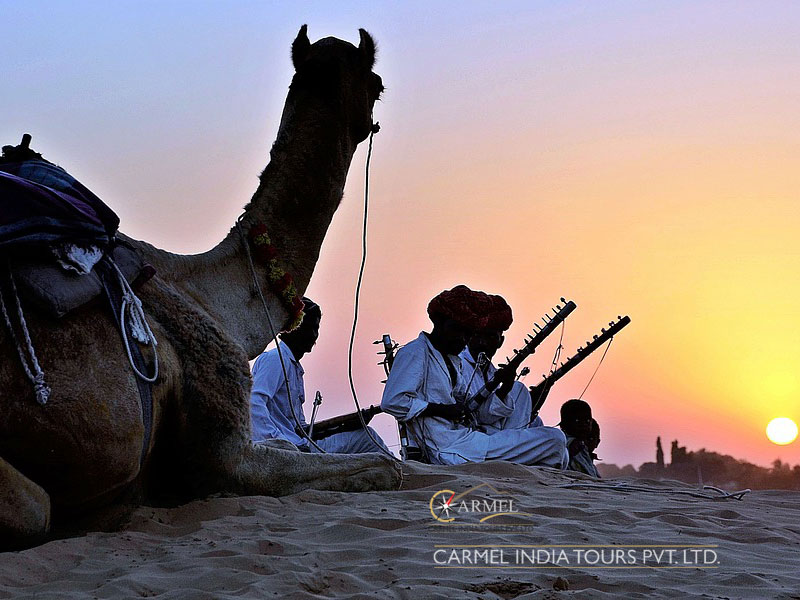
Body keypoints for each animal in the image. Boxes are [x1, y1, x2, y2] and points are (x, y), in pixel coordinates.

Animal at [0, 25, 400, 552]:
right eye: (377, 83)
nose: (374, 119)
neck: (212, 293)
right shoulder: (227, 452)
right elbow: (386, 468)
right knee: (33, 510)